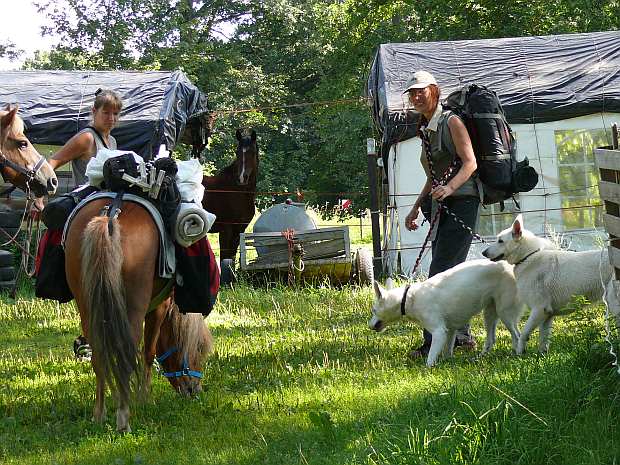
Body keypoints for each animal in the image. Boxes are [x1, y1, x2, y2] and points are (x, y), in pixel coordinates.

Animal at [64, 197, 212, 432]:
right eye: (198, 348)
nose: (194, 390)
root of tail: (110, 215)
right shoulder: (158, 308)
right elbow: (148, 352)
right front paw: (145, 399)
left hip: (87, 308)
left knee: (99, 355)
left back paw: (100, 413)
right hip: (133, 309)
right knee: (127, 353)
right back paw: (124, 419)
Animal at [202, 129, 258, 262]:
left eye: (252, 152)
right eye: (237, 152)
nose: (242, 178)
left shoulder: (238, 231)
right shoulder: (225, 231)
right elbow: (225, 258)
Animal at [368, 260, 524, 364]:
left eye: (374, 310)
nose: (369, 326)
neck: (408, 298)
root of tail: (510, 266)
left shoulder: (439, 332)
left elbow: (431, 358)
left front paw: (428, 369)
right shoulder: (450, 330)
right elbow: (447, 351)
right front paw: (448, 363)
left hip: (505, 313)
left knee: (517, 335)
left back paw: (516, 355)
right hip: (489, 314)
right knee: (491, 340)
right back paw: (479, 358)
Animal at [480, 213, 612, 352]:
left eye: (500, 241)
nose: (484, 252)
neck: (528, 256)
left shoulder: (539, 309)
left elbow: (523, 334)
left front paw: (520, 353)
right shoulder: (547, 315)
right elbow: (543, 340)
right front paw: (541, 356)